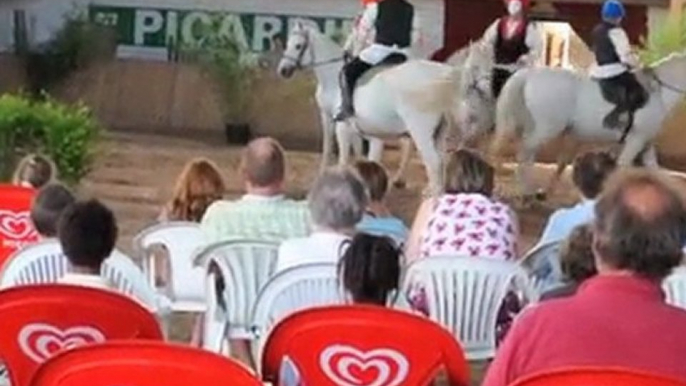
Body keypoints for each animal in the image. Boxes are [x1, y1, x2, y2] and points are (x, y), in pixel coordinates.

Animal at [280, 21, 468, 192]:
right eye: (287, 44)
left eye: (297, 46)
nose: (283, 70)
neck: (332, 78)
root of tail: (441, 75)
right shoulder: (348, 124)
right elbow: (356, 151)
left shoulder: (339, 124)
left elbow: (336, 152)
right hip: (438, 132)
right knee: (437, 159)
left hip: (419, 130)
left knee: (432, 162)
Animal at [494, 50, 686, 196]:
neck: (659, 93)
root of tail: (528, 74)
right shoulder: (636, 141)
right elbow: (621, 167)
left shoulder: (646, 143)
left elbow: (657, 171)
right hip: (546, 128)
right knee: (524, 151)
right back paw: (527, 191)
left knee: (526, 153)